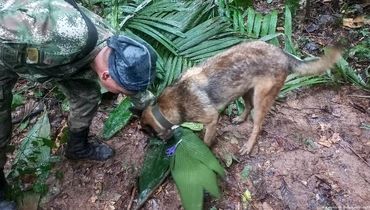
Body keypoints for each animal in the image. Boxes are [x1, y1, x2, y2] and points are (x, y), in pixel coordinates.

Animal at [141, 40, 342, 154]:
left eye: (150, 134)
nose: (162, 143)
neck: (166, 107)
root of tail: (283, 54)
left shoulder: (212, 119)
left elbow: (206, 140)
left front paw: (205, 150)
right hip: (245, 90)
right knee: (248, 106)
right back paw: (240, 118)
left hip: (261, 99)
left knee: (257, 125)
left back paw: (249, 145)